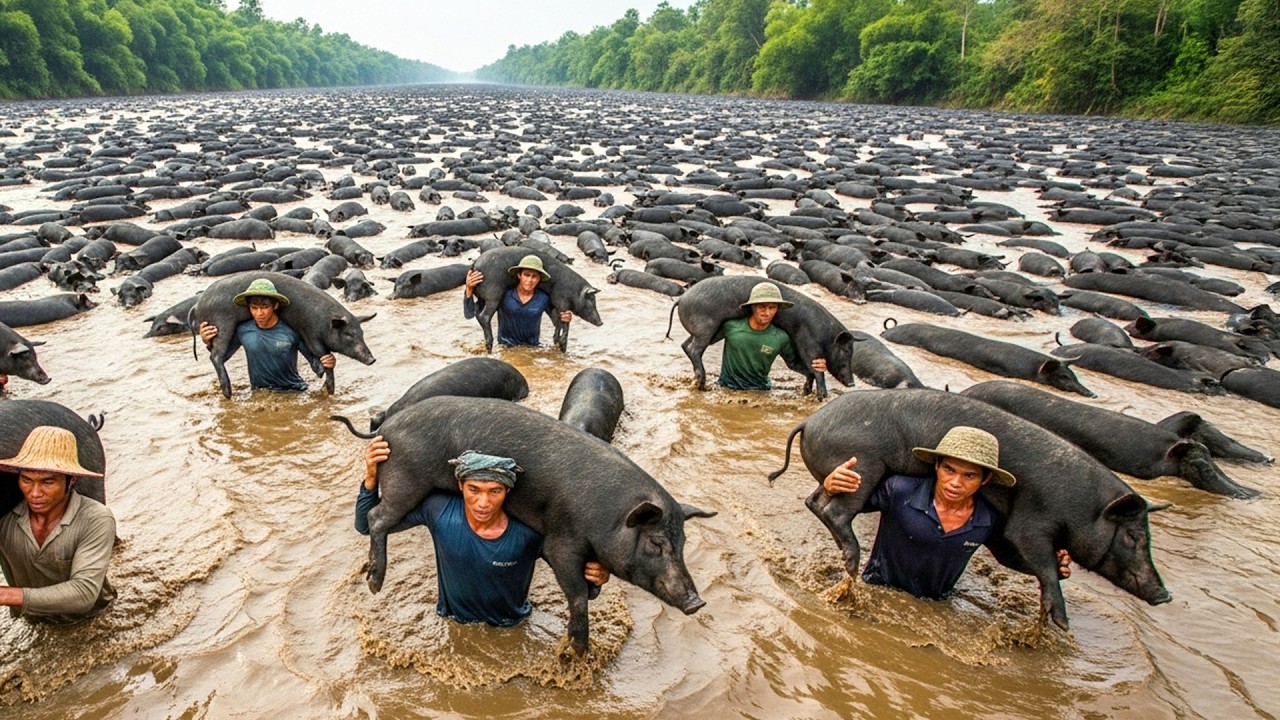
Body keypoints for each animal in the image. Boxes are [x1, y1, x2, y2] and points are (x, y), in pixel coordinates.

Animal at [334, 395, 715, 654]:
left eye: (682, 544)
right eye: (656, 543)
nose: (697, 602)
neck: (609, 517)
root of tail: (386, 428)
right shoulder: (562, 541)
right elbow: (577, 593)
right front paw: (578, 649)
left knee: (377, 520)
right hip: (406, 481)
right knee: (376, 518)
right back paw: (374, 583)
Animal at [766, 388, 1172, 630]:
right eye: (1134, 536)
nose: (1165, 596)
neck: (1084, 507)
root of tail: (809, 420)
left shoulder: (1004, 532)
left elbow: (1016, 556)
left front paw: (1063, 571)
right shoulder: (1032, 520)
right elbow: (1039, 558)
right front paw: (1061, 624)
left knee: (817, 501)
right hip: (864, 466)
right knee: (835, 511)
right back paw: (851, 562)